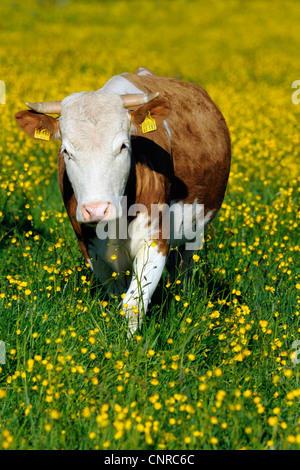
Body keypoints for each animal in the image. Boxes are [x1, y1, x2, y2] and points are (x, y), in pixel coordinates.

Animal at [14, 68, 232, 336]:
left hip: (194, 232)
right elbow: (118, 296)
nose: (96, 209)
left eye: (123, 146)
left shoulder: (156, 239)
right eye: (66, 151)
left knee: (184, 269)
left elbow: (133, 304)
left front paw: (130, 344)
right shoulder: (91, 250)